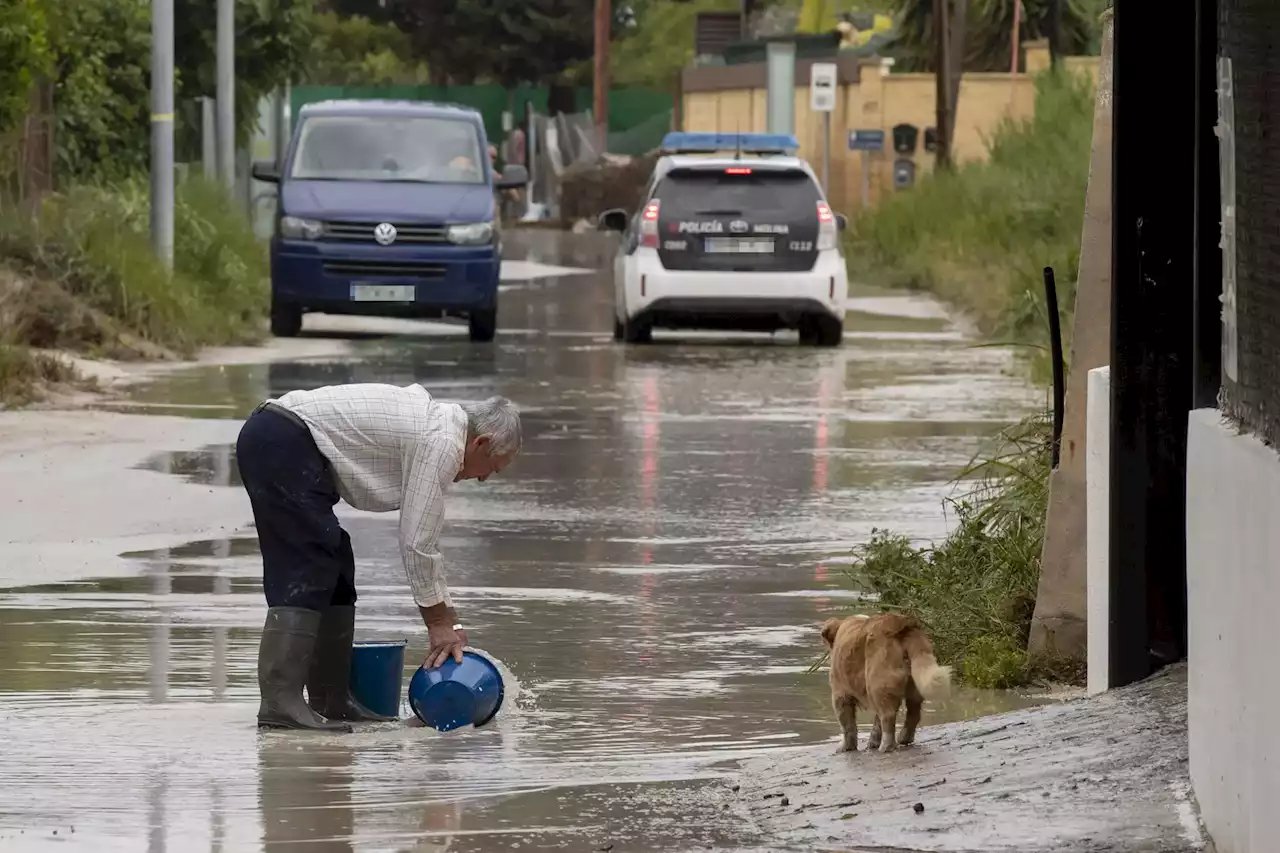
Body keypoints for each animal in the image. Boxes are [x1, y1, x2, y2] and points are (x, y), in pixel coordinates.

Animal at [819, 612, 952, 753]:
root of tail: (901, 623)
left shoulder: (840, 694)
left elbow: (847, 725)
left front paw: (847, 747)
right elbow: (877, 724)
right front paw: (873, 742)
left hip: (877, 685)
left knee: (888, 717)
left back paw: (886, 746)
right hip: (913, 685)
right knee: (913, 713)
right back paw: (904, 738)